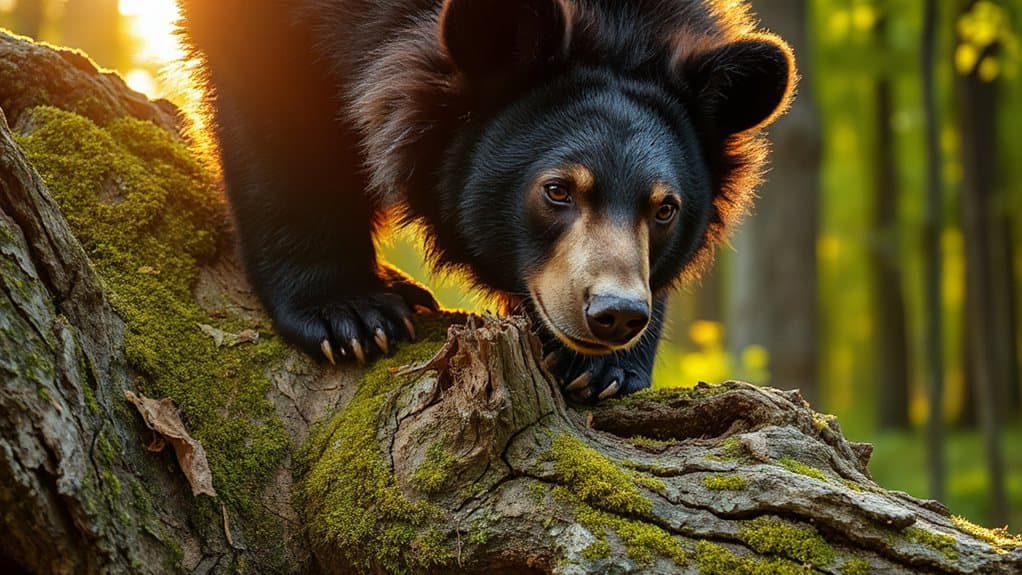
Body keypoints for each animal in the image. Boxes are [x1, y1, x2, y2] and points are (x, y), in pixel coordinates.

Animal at [177, 0, 794, 402]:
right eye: (557, 190)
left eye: (664, 209)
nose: (616, 315)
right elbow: (282, 123)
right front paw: (349, 316)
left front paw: (604, 371)